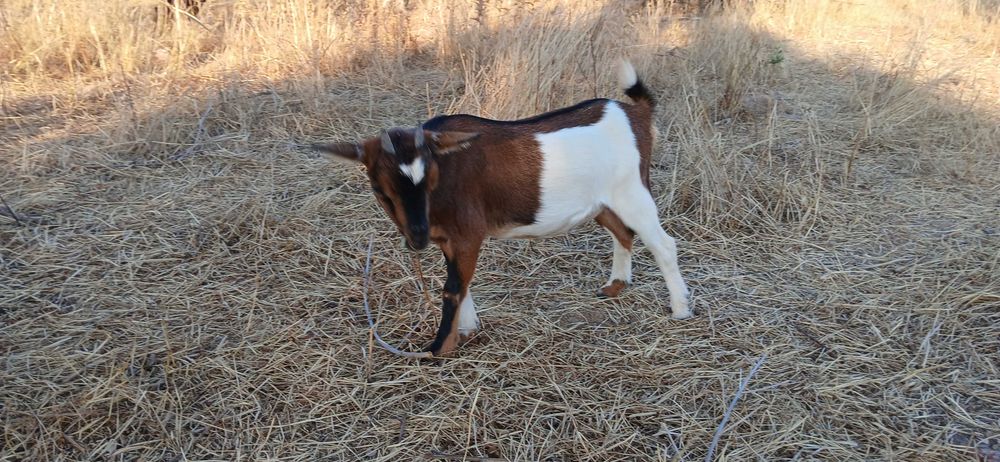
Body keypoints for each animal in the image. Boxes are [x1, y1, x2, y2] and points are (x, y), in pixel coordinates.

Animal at [313, 61, 691, 356]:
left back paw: (681, 310)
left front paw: (438, 348)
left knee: (663, 244)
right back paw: (615, 285)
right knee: (622, 231)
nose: (417, 239)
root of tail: (635, 112)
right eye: (380, 190)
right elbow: (462, 282)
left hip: (633, 191)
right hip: (603, 200)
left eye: (432, 179)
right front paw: (467, 331)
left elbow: (453, 287)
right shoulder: (450, 239)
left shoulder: (467, 233)